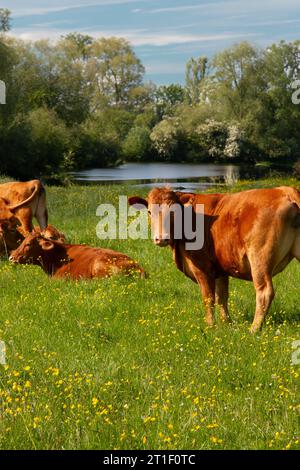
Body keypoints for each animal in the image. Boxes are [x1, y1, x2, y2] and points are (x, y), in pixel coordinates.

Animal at [128, 185, 300, 332]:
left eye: (174, 211)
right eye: (149, 212)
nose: (161, 238)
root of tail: (285, 190)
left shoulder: (202, 267)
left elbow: (208, 297)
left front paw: (210, 325)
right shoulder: (221, 268)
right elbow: (221, 297)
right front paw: (226, 323)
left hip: (259, 258)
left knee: (264, 292)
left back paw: (254, 329)